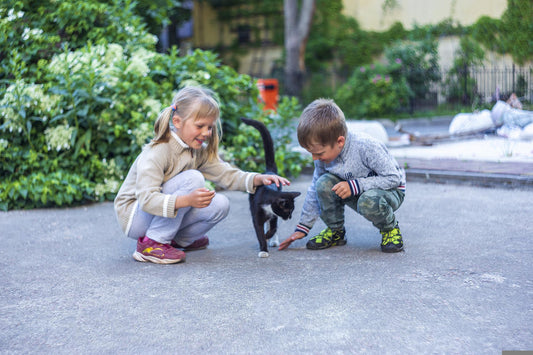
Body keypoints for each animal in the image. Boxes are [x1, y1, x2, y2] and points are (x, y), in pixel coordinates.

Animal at [241, 118, 300, 258]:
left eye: (292, 211)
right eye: (288, 211)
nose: (290, 217)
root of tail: (269, 172)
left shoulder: (274, 215)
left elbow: (273, 227)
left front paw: (269, 236)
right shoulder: (257, 214)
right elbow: (259, 231)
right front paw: (263, 248)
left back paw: (273, 240)